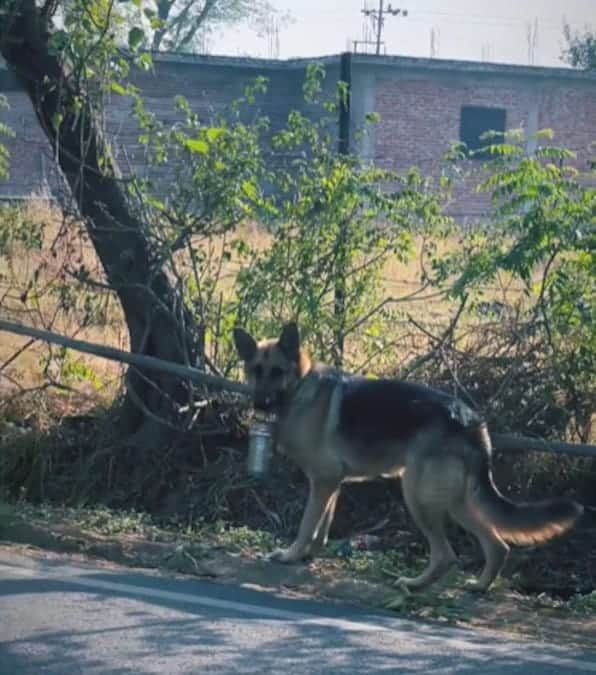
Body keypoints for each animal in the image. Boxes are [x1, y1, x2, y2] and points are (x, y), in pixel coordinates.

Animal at [233, 322, 584, 592]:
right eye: (255, 371)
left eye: (277, 372)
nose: (260, 404)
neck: (300, 388)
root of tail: (472, 421)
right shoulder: (331, 484)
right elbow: (323, 526)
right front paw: (310, 554)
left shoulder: (323, 481)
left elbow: (307, 524)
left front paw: (291, 555)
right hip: (455, 501)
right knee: (498, 544)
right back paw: (479, 586)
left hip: (418, 496)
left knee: (446, 555)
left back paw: (415, 584)